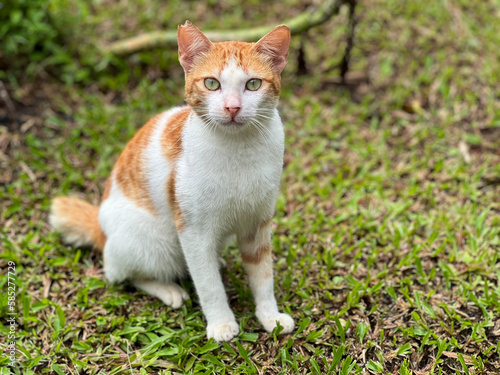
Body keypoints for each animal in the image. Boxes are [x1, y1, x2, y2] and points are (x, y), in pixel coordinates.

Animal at [49, 21, 292, 344]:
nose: (232, 108)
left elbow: (263, 275)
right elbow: (208, 284)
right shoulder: (192, 229)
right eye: (211, 83)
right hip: (153, 243)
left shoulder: (258, 223)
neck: (239, 149)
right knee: (122, 273)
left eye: (253, 84)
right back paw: (168, 288)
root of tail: (101, 230)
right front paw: (221, 323)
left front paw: (269, 316)